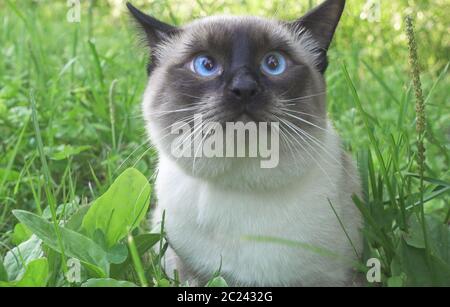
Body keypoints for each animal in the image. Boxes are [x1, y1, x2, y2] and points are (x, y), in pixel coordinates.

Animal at [126, 0, 362, 288]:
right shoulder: (183, 270)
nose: (244, 88)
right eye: (206, 64)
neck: (240, 184)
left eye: (273, 63)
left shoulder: (336, 277)